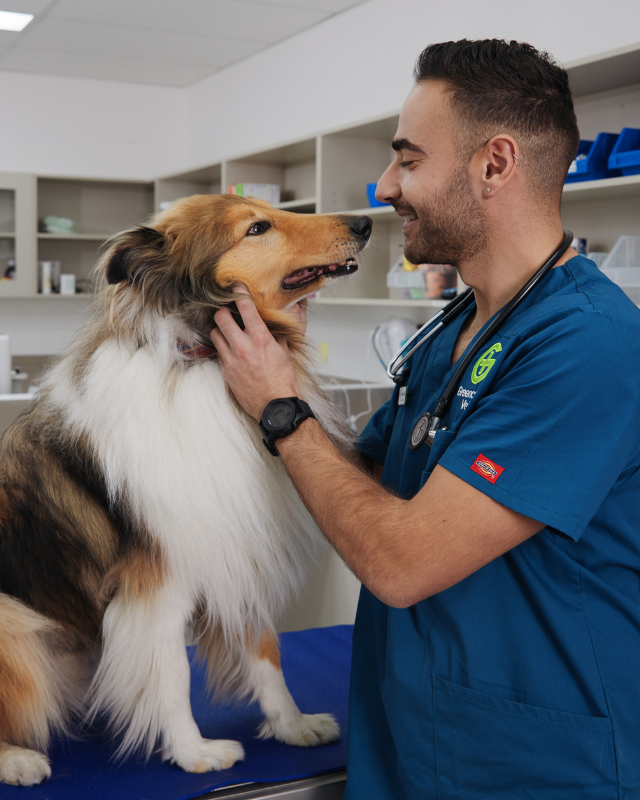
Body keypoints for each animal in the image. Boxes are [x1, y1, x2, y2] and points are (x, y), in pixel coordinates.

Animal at [0, 195, 372, 788]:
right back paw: (18, 759)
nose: (366, 221)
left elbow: (266, 655)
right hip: (12, 619)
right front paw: (193, 751)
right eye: (257, 228)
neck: (204, 362)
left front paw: (293, 726)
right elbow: (171, 674)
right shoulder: (159, 582)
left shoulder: (230, 543)